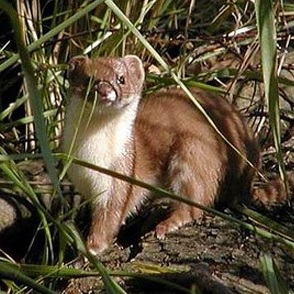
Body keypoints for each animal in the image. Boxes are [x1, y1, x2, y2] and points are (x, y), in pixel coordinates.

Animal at [62, 55, 284, 255]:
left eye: (121, 79)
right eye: (88, 79)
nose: (105, 91)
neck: (91, 157)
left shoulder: (120, 177)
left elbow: (110, 217)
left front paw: (90, 249)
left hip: (194, 152)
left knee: (195, 201)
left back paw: (164, 225)